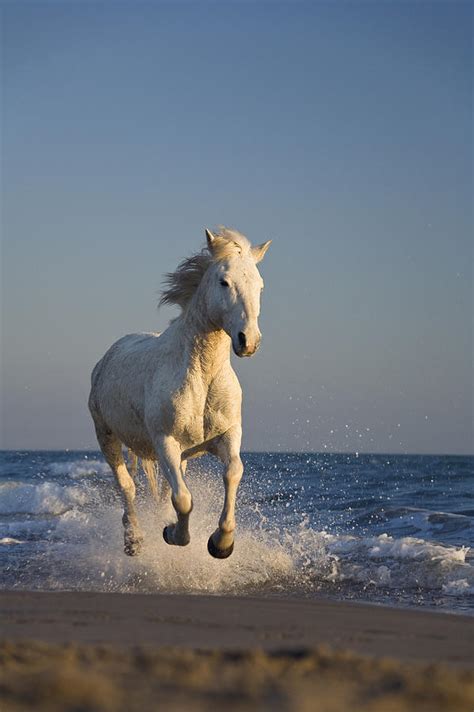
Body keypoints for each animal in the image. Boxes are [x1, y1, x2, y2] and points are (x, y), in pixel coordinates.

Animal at [88, 227, 270, 556]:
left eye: (260, 286)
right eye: (224, 282)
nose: (248, 341)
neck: (203, 376)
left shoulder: (227, 436)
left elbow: (232, 472)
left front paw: (221, 543)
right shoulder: (166, 443)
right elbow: (183, 499)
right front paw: (173, 534)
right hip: (106, 436)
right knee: (127, 486)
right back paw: (134, 541)